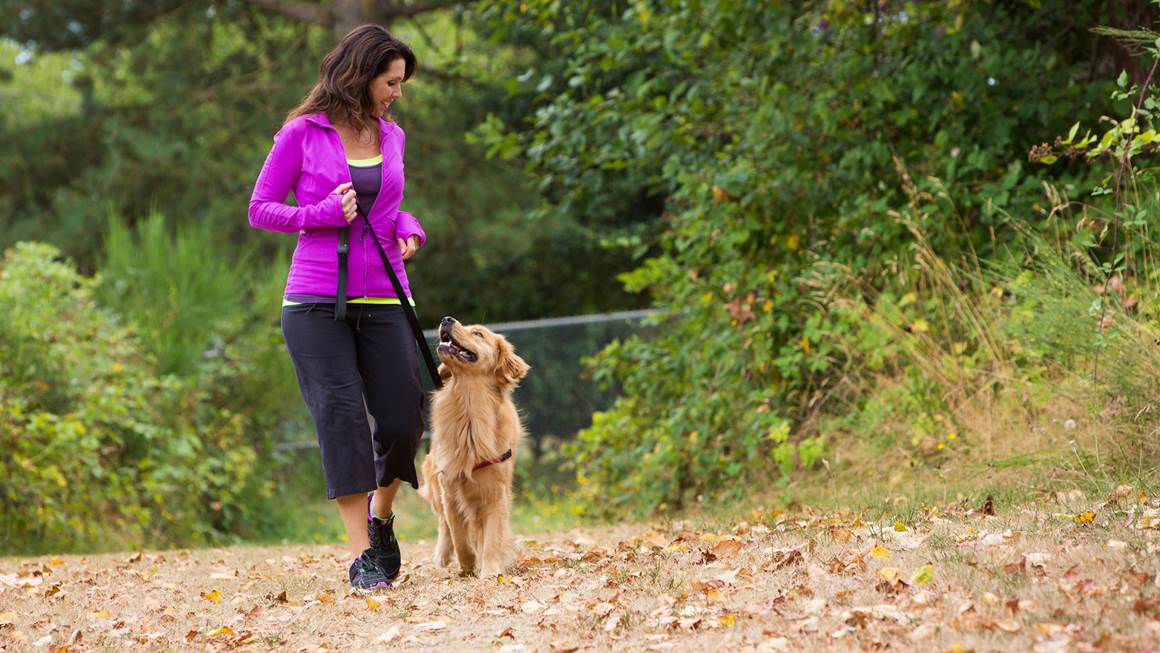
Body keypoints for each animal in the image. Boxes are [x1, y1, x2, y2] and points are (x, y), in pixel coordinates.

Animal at [422, 317, 531, 577]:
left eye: (479, 334)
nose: (446, 319)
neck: (470, 407)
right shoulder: (450, 487)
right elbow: (459, 536)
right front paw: (468, 565)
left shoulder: (495, 492)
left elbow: (491, 537)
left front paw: (489, 570)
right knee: (444, 525)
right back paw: (443, 555)